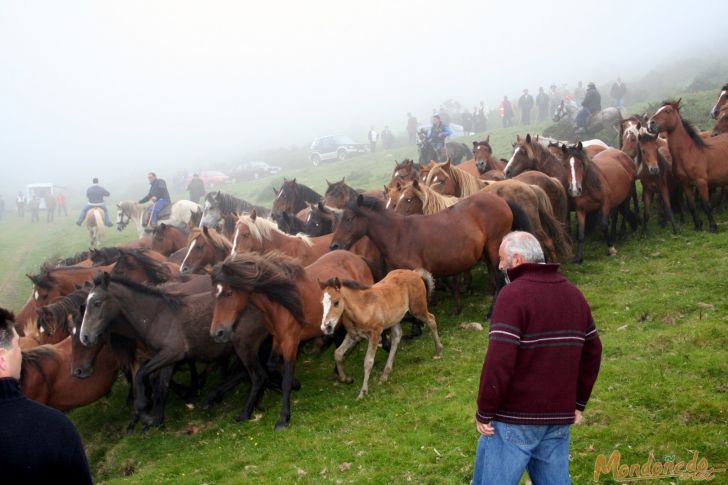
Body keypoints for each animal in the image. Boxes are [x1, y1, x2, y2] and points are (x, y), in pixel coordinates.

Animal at [208, 250, 372, 428]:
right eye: (214, 295)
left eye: (229, 293)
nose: (217, 333)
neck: (280, 303)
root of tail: (358, 258)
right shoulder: (277, 337)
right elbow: (271, 365)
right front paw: (295, 384)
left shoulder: (291, 341)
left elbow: (286, 377)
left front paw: (283, 418)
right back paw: (339, 374)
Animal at [320, 268, 444, 398]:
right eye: (322, 303)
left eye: (336, 302)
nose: (326, 327)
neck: (362, 308)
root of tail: (414, 273)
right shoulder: (353, 336)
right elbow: (338, 354)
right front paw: (346, 379)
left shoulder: (375, 333)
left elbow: (368, 362)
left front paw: (363, 392)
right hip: (395, 318)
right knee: (397, 336)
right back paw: (385, 374)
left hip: (417, 308)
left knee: (431, 320)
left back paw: (438, 352)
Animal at [330, 194, 528, 314]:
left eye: (349, 219)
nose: (334, 245)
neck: (398, 234)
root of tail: (502, 200)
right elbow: (448, 284)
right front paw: (457, 307)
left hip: (495, 248)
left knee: (501, 276)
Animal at [648, 98, 728, 231]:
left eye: (668, 110)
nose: (650, 124)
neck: (690, 152)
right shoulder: (686, 184)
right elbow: (691, 206)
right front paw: (698, 225)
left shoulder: (701, 182)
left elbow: (706, 205)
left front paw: (713, 227)